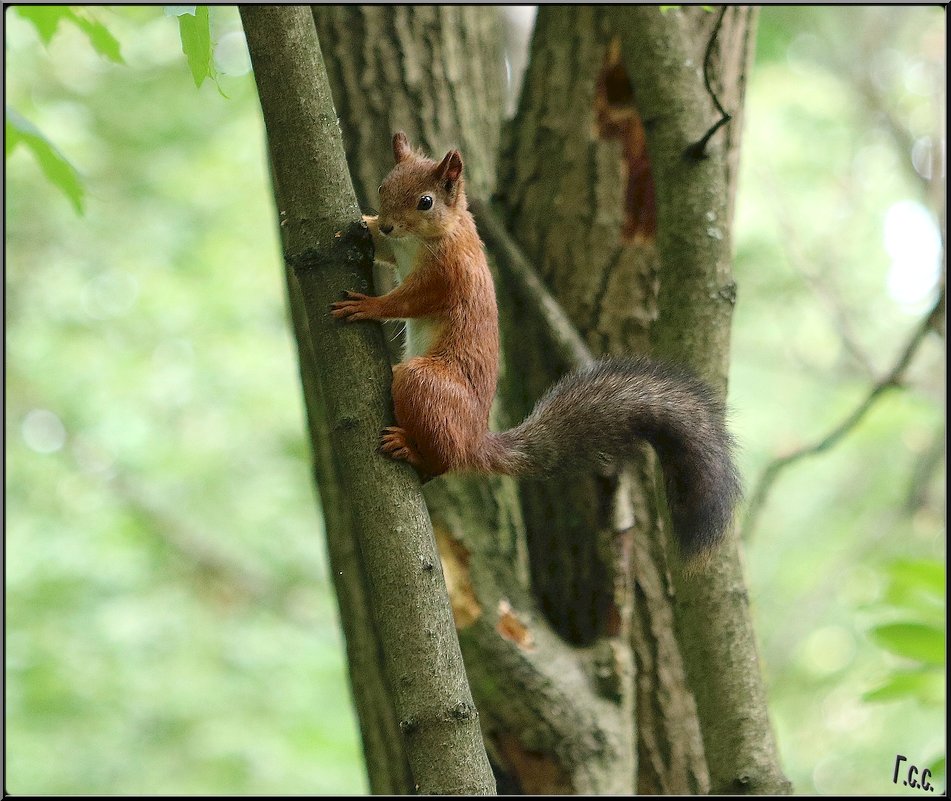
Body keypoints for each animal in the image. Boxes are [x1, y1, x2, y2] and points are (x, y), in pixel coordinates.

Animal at [334, 133, 744, 556]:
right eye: (383, 187)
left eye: (425, 202)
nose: (387, 224)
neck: (421, 239)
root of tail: (475, 441)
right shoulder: (396, 249)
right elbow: (383, 252)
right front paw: (360, 226)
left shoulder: (446, 276)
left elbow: (408, 301)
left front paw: (367, 305)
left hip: (427, 385)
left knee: (443, 460)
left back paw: (413, 450)